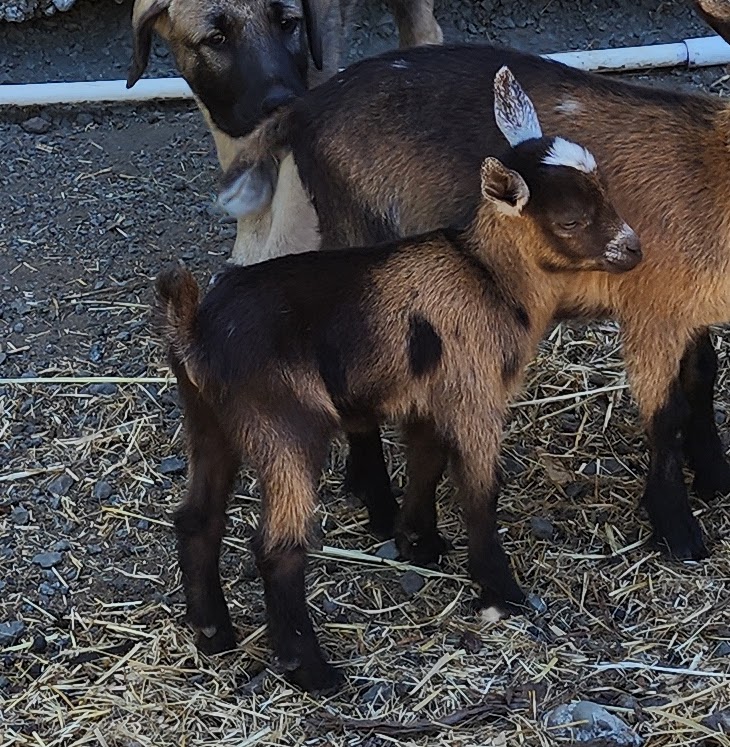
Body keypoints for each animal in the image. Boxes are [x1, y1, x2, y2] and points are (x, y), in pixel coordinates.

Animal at [156, 67, 641, 692]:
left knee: (198, 520)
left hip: (209, 421)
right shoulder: (475, 395)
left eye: (603, 186)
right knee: (276, 546)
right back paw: (310, 668)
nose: (633, 250)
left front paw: (420, 542)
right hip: (286, 426)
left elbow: (426, 464)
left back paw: (213, 633)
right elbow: (479, 493)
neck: (485, 275)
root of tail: (193, 329)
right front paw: (501, 593)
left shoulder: (431, 394)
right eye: (571, 220)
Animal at [219, 3, 730, 562]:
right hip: (359, 234)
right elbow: (666, 411)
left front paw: (715, 477)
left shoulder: (690, 307)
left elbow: (703, 375)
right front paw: (678, 530)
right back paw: (381, 508)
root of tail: (305, 109)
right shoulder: (652, 311)